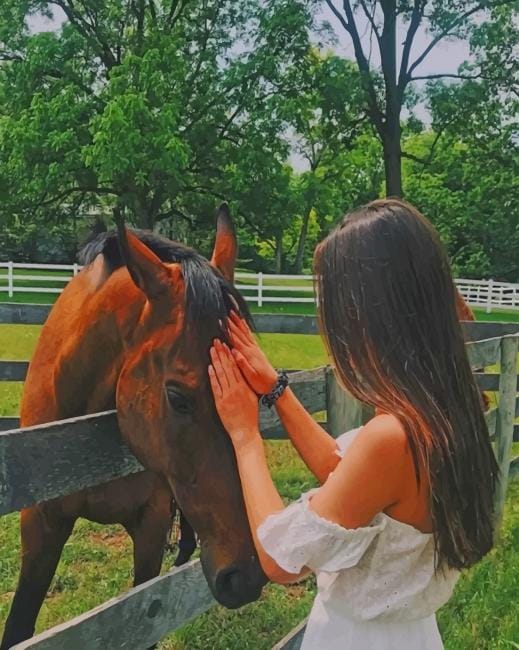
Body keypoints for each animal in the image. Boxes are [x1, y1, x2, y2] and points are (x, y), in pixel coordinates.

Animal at [1, 205, 266, 649]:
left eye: (258, 386)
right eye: (177, 397)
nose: (246, 576)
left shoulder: (151, 525)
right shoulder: (40, 523)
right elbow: (19, 626)